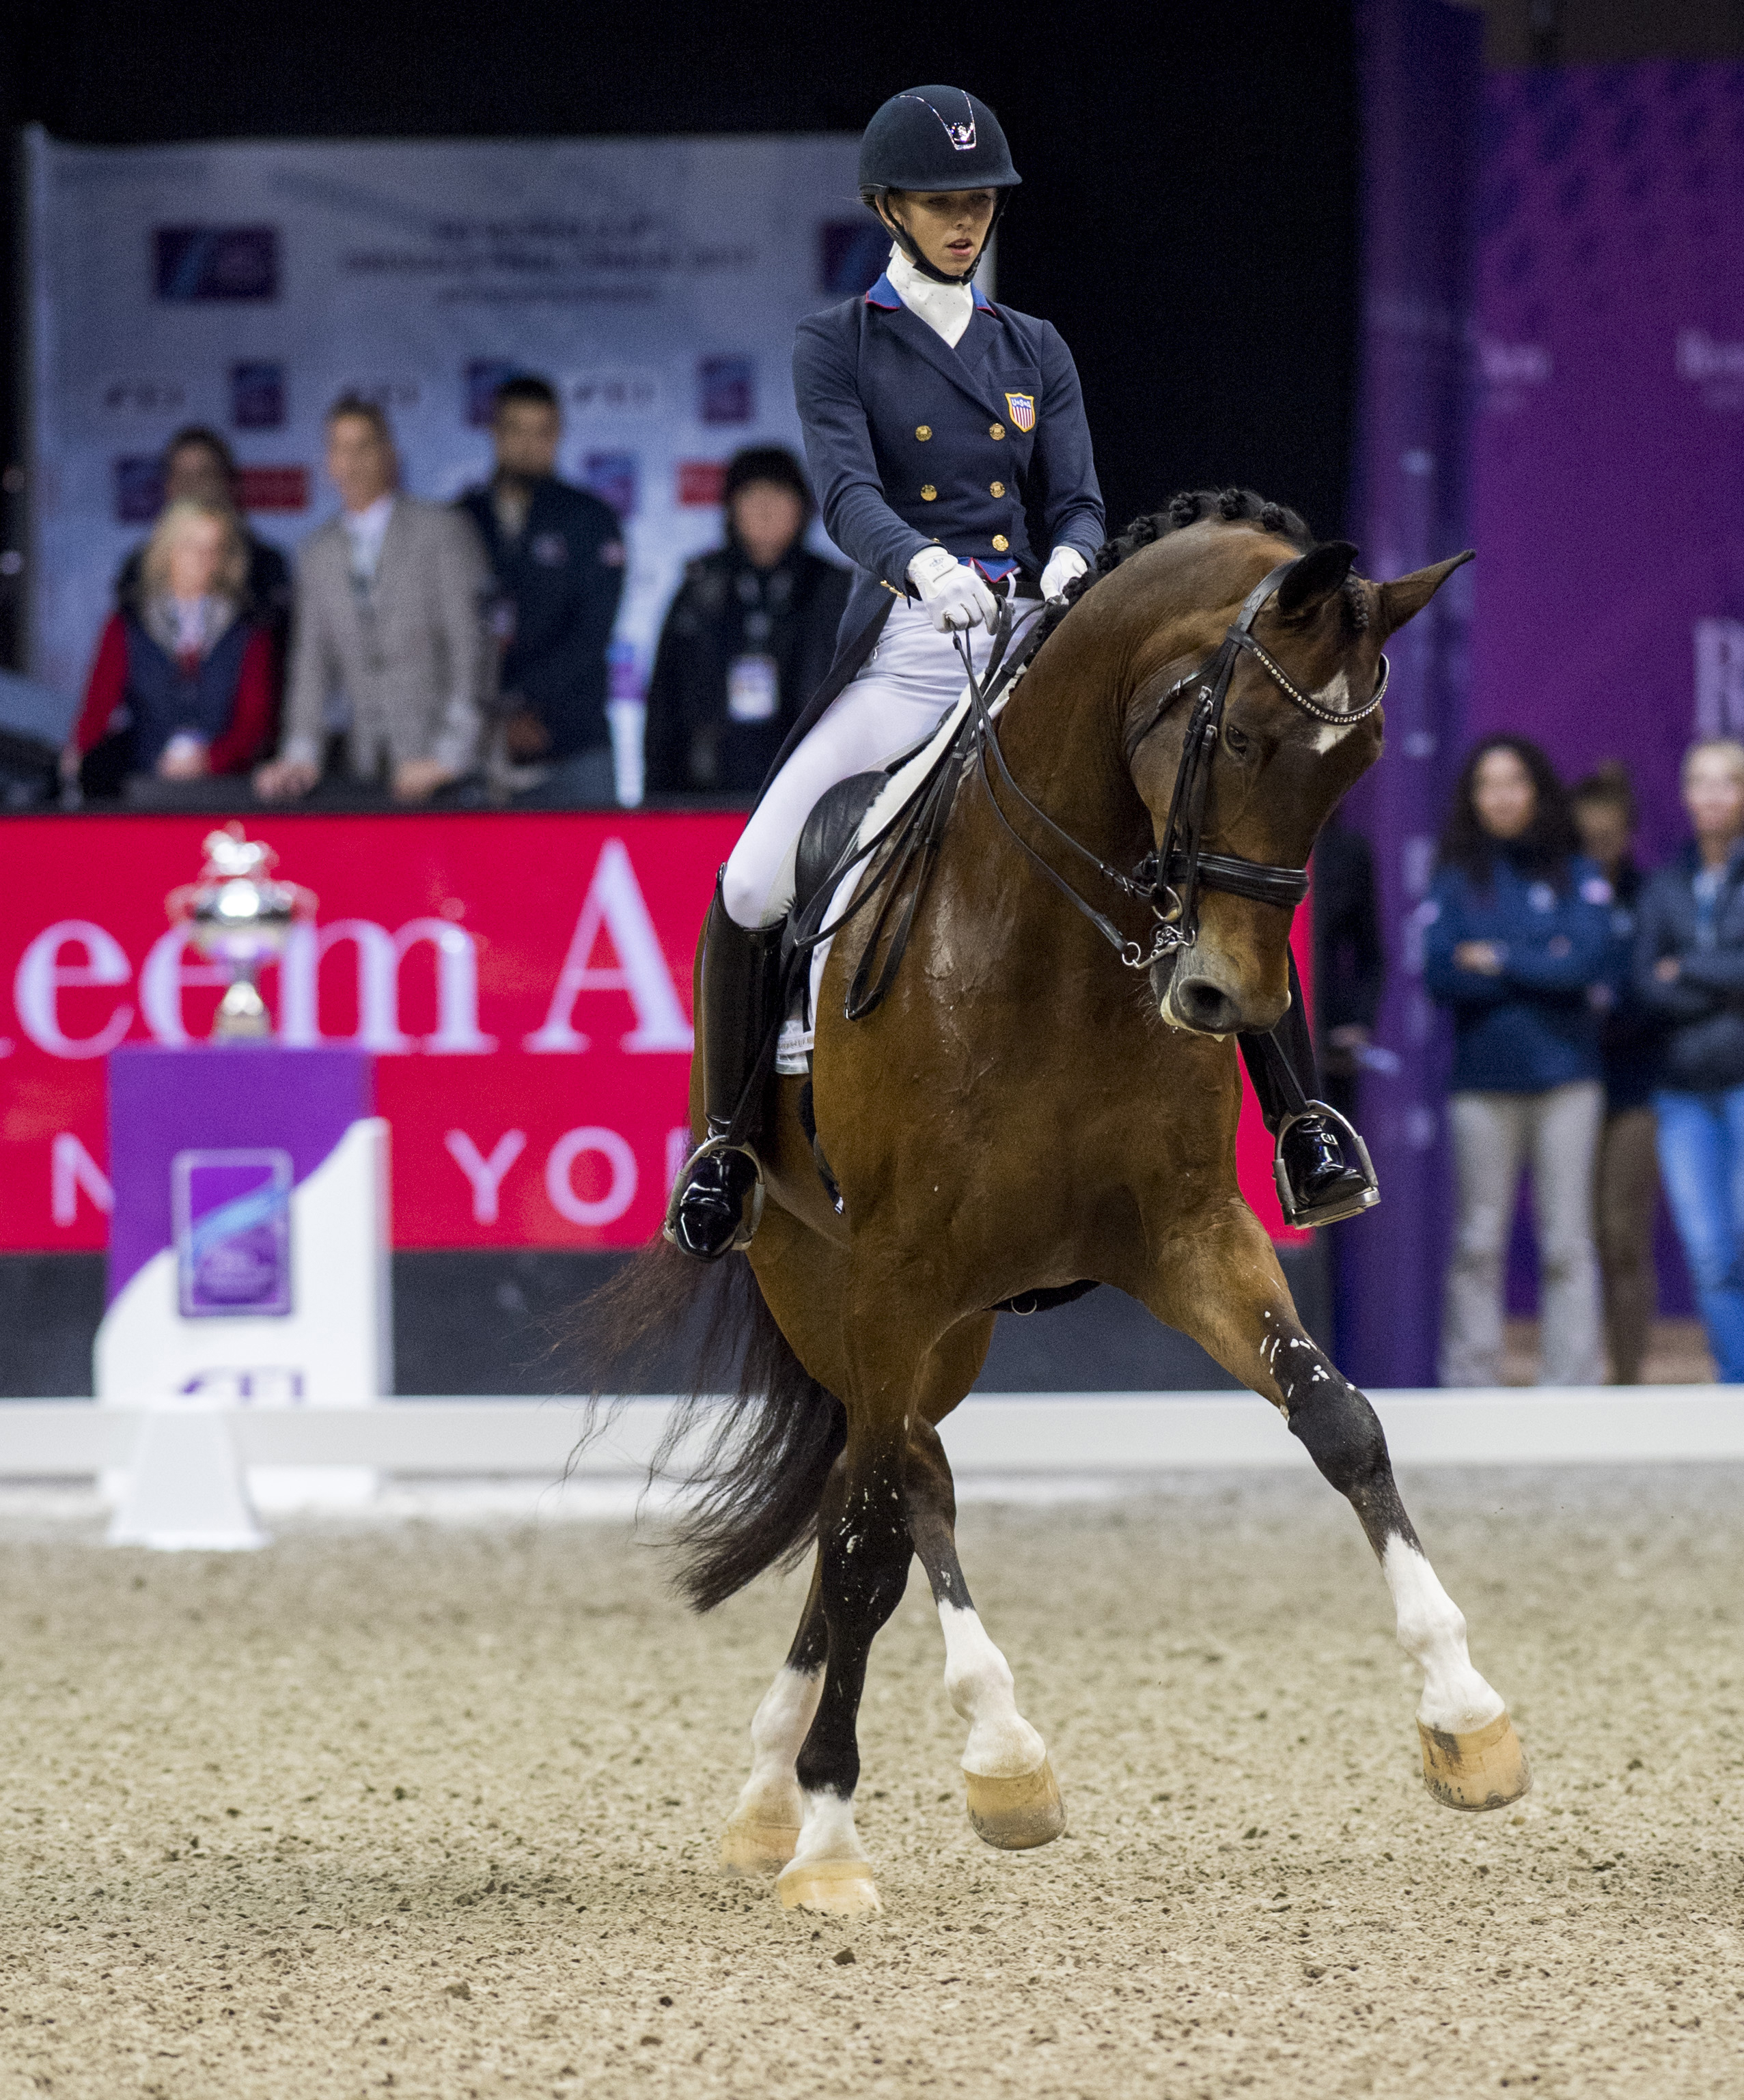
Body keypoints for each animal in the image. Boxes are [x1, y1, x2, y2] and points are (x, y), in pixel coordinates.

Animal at [596, 491, 1530, 1923]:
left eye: (1359, 761)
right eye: (1240, 737)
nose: (1224, 999)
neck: (1045, 949)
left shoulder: (1187, 1236)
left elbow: (1340, 1422)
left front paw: (1464, 1714)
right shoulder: (895, 1273)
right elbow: (865, 1538)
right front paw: (831, 1839)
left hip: (953, 1329)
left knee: (883, 1479)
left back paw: (868, 1777)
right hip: (826, 1284)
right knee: (889, 1490)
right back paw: (923, 1766)